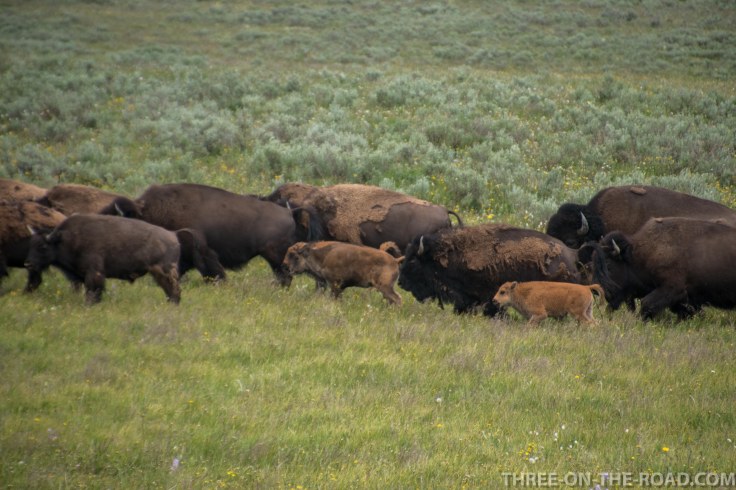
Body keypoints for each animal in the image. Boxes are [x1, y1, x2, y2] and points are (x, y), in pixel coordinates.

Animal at [26, 214, 181, 304]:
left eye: (43, 246)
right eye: (31, 244)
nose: (28, 264)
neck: (65, 238)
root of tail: (173, 236)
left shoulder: (94, 273)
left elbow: (93, 292)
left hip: (163, 272)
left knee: (174, 290)